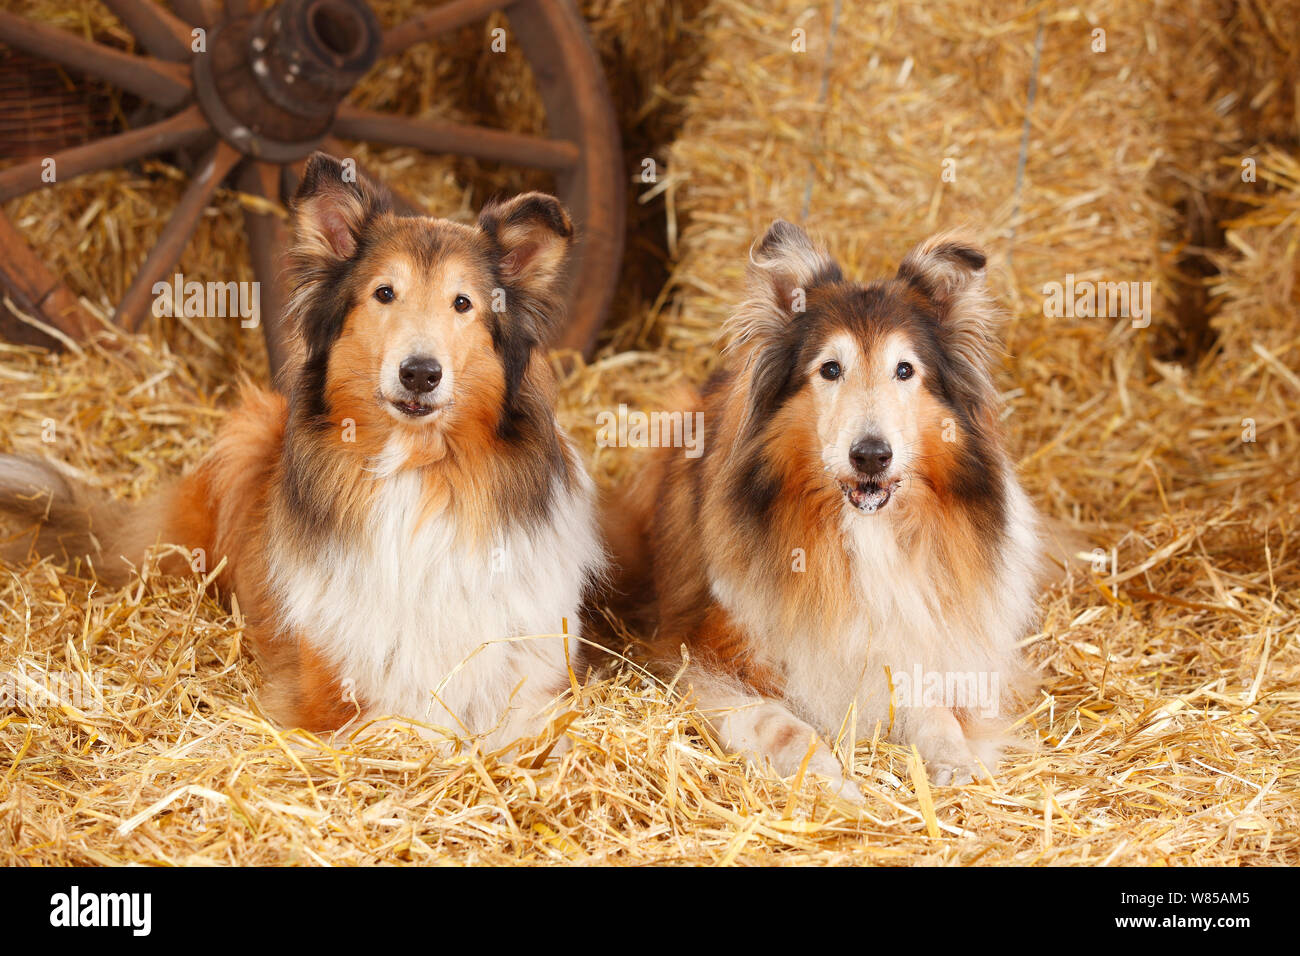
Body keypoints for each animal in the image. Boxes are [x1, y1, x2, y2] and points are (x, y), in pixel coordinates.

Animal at [0, 151, 605, 749]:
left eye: (463, 304)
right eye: (384, 293)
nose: (420, 373)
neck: (417, 473)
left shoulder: (536, 687)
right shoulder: (329, 702)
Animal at [603, 221, 1040, 796]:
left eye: (905, 370)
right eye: (830, 369)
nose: (871, 456)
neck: (861, 530)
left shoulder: (907, 640)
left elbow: (931, 705)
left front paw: (955, 759)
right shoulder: (694, 657)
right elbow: (781, 723)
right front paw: (831, 783)